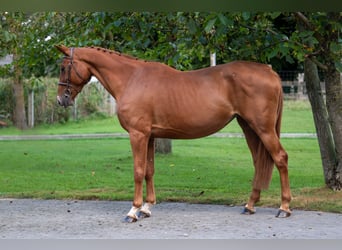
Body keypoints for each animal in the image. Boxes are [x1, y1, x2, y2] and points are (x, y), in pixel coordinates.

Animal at [55, 45, 292, 223]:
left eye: (64, 67)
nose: (60, 100)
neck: (132, 79)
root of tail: (269, 71)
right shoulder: (149, 136)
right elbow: (149, 170)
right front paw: (147, 208)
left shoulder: (137, 135)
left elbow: (138, 171)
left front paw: (133, 211)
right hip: (249, 127)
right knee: (259, 163)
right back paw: (250, 205)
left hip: (263, 128)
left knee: (280, 158)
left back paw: (284, 207)